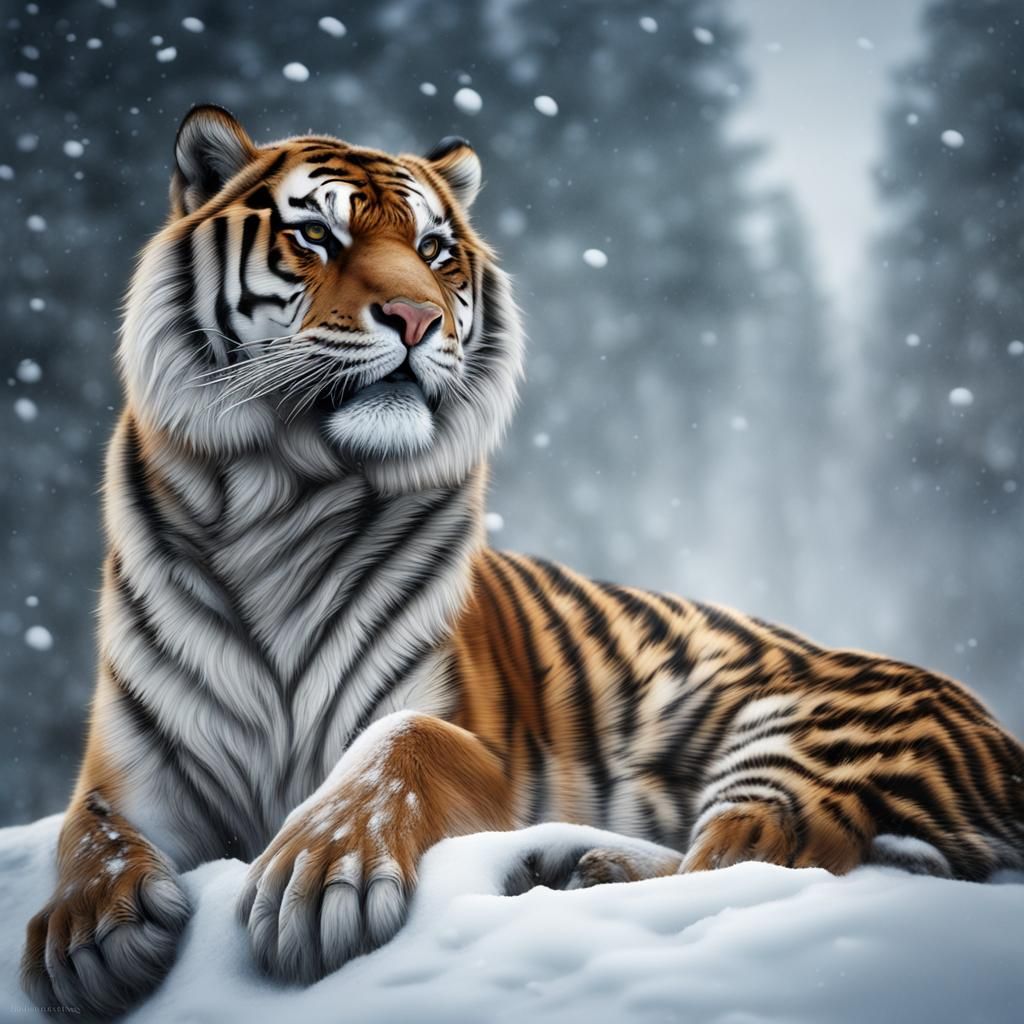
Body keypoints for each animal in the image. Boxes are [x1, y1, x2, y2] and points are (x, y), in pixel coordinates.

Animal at [21, 104, 1024, 1019]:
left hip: (799, 744)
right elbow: (87, 827)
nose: (416, 318)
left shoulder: (470, 739)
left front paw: (321, 872)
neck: (281, 499)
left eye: (435, 250)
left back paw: (560, 865)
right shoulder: (134, 768)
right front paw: (85, 937)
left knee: (743, 859)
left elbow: (399, 742)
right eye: (315, 235)